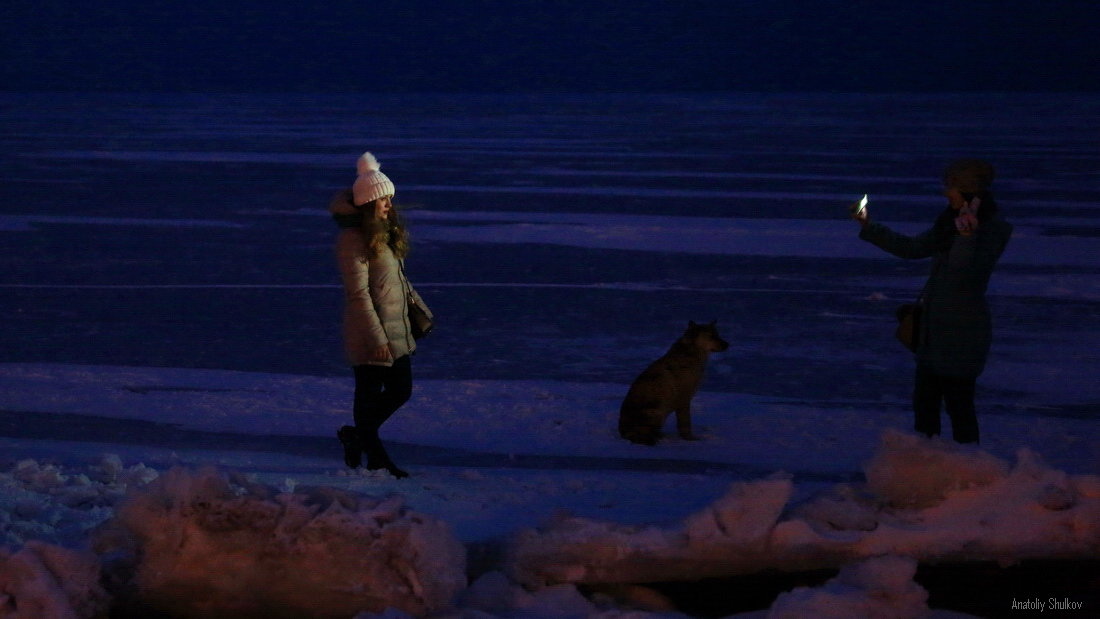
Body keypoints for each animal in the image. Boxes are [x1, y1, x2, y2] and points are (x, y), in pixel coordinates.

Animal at [620, 318, 730, 446]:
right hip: (657, 411)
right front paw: (690, 439)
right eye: (711, 336)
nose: (727, 344)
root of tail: (623, 433)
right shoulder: (684, 399)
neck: (691, 353)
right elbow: (685, 423)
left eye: (718, 334)